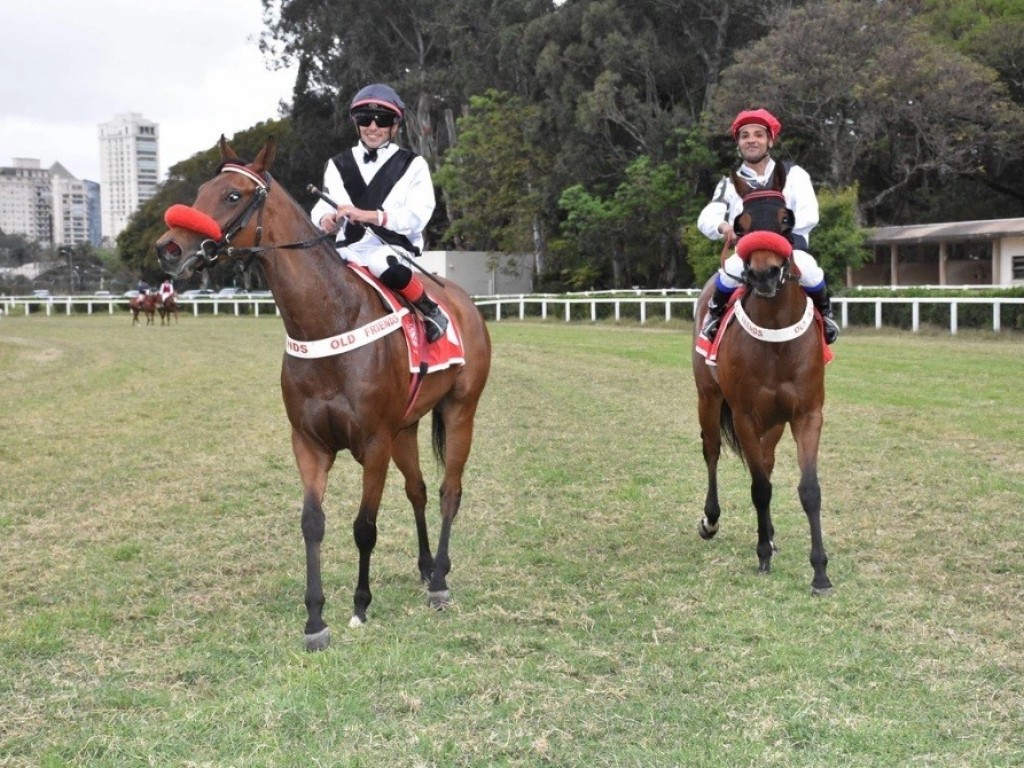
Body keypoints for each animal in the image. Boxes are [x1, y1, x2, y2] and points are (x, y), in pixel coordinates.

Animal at [151, 137, 491, 651]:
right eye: (200, 192)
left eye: (232, 195)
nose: (168, 248)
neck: (331, 318)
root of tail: (463, 300)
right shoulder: (309, 442)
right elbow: (312, 523)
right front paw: (315, 619)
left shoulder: (373, 442)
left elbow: (364, 527)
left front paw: (360, 605)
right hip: (407, 427)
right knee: (418, 490)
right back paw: (426, 566)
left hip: (460, 411)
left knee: (450, 491)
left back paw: (440, 582)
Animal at [688, 167, 831, 598]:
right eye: (741, 224)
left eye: (786, 219)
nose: (764, 273)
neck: (777, 342)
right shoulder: (745, 416)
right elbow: (760, 488)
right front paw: (762, 555)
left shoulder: (806, 414)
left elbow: (808, 490)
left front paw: (820, 572)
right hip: (708, 398)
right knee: (712, 451)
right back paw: (712, 520)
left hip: (774, 423)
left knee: (765, 463)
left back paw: (770, 534)